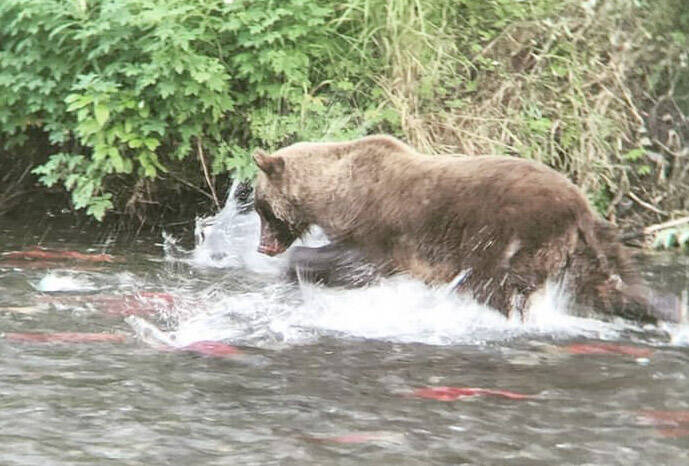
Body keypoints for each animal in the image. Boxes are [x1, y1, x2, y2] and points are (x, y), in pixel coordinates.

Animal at [251, 136, 676, 320]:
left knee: (497, 286)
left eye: (259, 208)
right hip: (584, 245)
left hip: (520, 234)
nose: (262, 246)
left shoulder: (381, 228)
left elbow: (357, 261)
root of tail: (579, 204)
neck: (335, 192)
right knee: (607, 284)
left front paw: (295, 269)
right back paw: (662, 308)